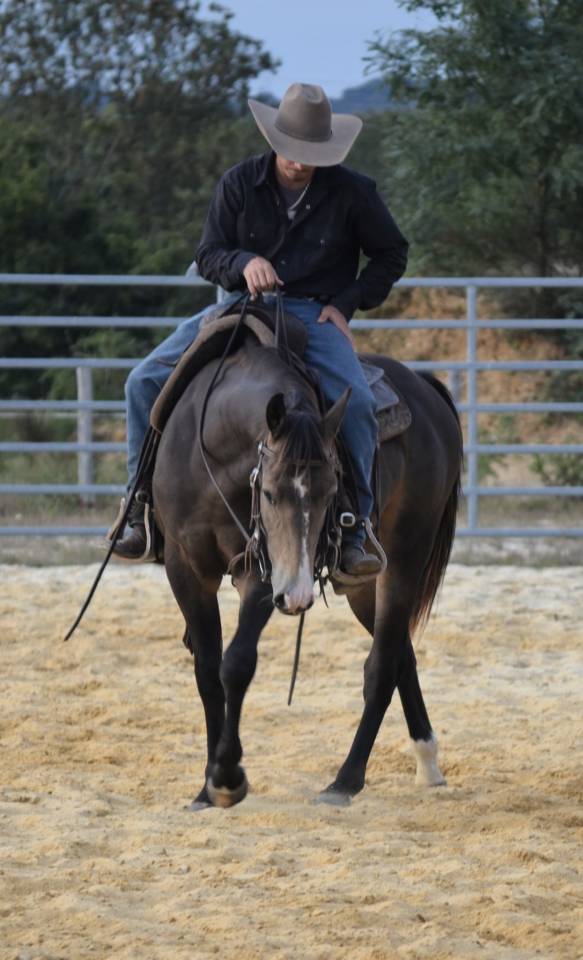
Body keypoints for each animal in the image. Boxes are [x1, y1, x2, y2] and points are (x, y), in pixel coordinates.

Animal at [153, 321, 463, 809]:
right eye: (270, 492)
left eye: (332, 490)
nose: (296, 597)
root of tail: (425, 387)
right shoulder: (184, 569)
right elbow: (207, 672)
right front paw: (206, 788)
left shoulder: (262, 571)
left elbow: (235, 664)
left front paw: (226, 777)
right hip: (363, 587)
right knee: (401, 653)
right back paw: (427, 762)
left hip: (406, 557)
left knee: (382, 665)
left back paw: (346, 780)